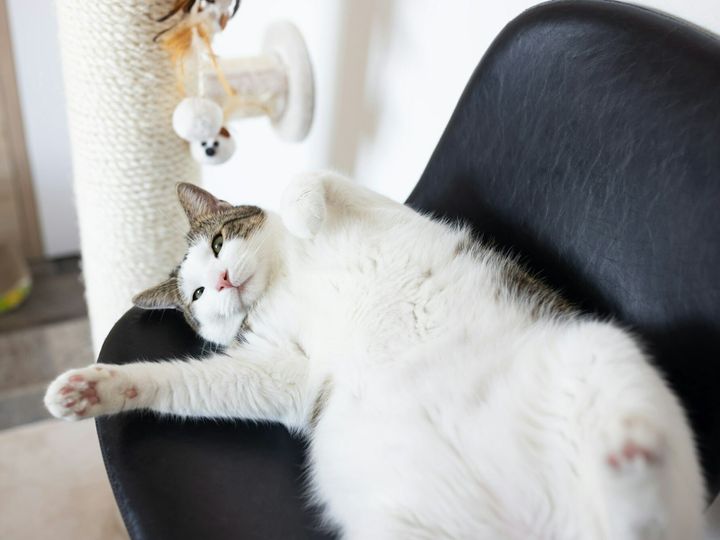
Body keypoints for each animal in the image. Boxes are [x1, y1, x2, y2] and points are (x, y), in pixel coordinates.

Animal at [43, 173, 704, 540]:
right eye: (199, 295)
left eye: (219, 241)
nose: (224, 281)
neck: (285, 282)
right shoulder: (284, 372)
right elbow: (193, 383)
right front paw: (93, 388)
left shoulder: (374, 202)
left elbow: (307, 175)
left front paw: (304, 216)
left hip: (600, 349)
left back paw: (629, 452)